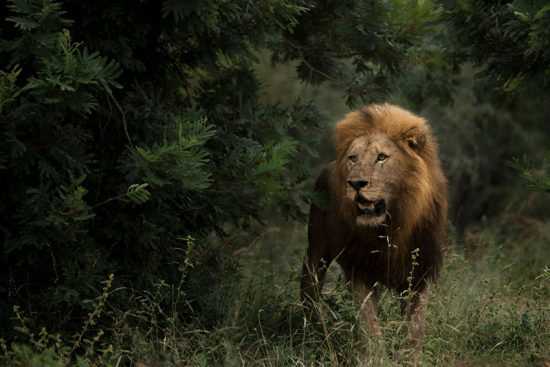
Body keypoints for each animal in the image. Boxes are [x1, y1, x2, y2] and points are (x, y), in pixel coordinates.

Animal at [302, 103, 448, 348]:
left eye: (381, 157)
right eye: (352, 158)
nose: (355, 183)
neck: (391, 225)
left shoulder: (420, 272)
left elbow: (414, 330)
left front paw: (409, 354)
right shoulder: (359, 270)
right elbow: (369, 328)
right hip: (316, 249)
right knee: (309, 288)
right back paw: (309, 330)